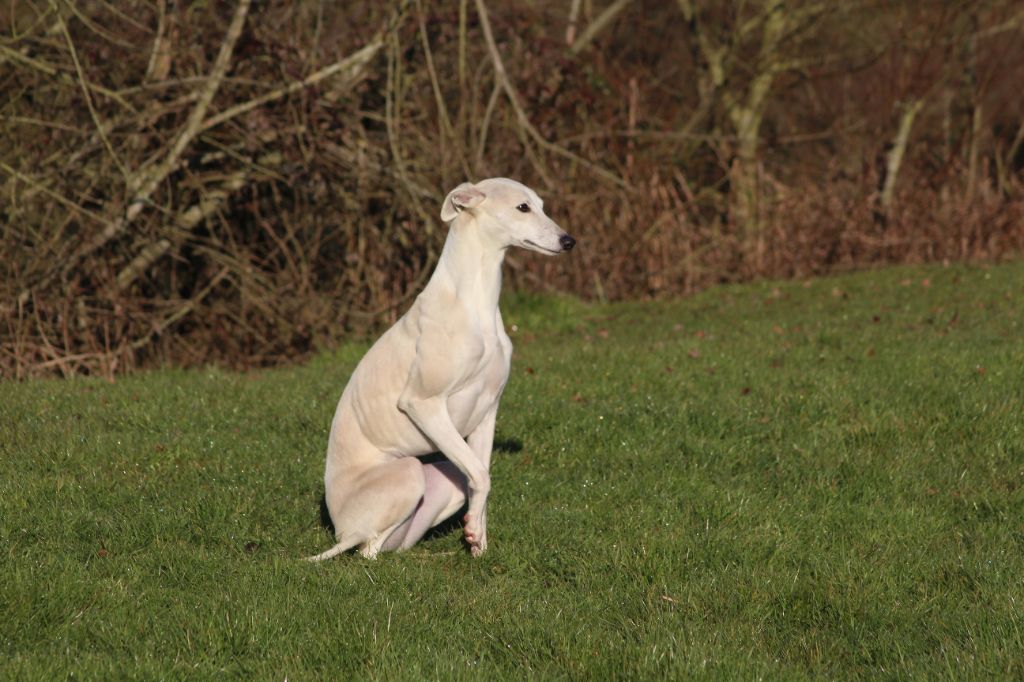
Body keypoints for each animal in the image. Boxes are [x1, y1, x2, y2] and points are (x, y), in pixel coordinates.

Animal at [307, 178, 573, 561]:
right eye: (522, 207)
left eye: (541, 205)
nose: (569, 241)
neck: (473, 301)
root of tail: (341, 529)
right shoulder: (424, 404)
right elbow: (482, 475)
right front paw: (474, 532)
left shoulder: (487, 411)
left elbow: (481, 475)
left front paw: (477, 540)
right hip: (407, 472)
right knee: (367, 549)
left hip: (442, 482)